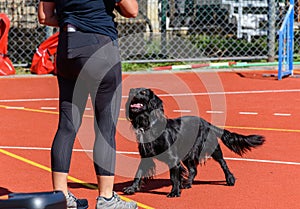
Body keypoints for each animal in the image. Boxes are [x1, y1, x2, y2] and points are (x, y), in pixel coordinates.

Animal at [123, 88, 264, 198]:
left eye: (143, 92)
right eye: (134, 89)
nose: (130, 91)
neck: (150, 126)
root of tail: (207, 123)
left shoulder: (173, 159)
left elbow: (174, 177)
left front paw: (174, 192)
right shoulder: (145, 157)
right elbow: (138, 173)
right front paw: (131, 189)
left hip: (212, 148)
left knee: (223, 163)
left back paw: (230, 179)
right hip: (188, 154)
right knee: (193, 170)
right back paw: (187, 184)